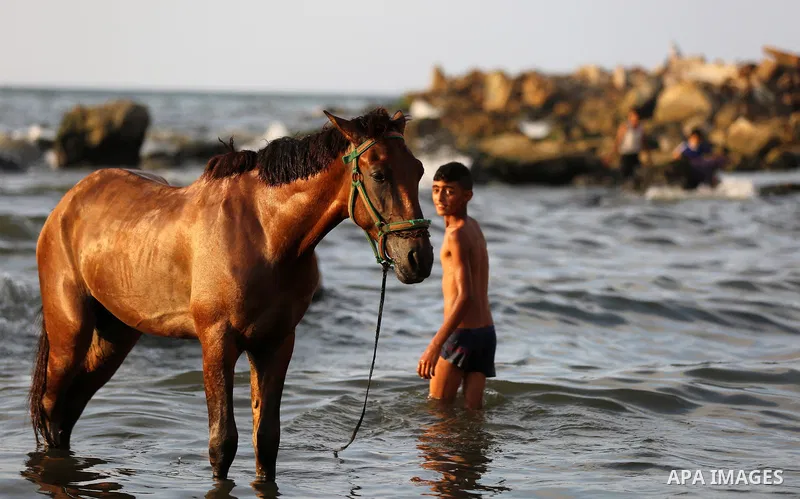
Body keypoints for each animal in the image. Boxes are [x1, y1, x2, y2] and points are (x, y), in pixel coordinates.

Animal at [28, 108, 434, 482]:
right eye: (379, 174)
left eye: (418, 170)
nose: (419, 258)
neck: (265, 233)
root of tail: (67, 204)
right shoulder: (217, 340)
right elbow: (222, 442)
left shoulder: (276, 343)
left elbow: (266, 439)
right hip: (70, 331)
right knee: (51, 406)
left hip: (115, 336)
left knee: (69, 407)